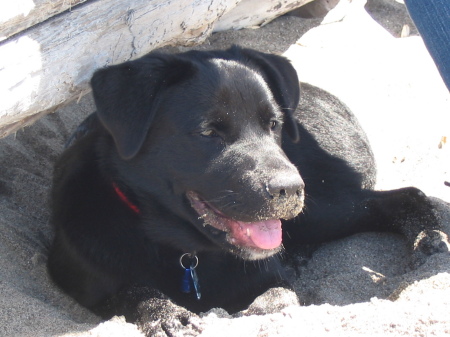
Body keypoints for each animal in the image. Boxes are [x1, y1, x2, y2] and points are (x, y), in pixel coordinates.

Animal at [48, 46, 442, 318]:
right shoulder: (82, 280)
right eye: (209, 132)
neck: (185, 254)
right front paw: (164, 314)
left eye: (275, 124)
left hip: (321, 207)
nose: (290, 189)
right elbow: (132, 292)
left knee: (404, 197)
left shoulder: (269, 276)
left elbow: (278, 299)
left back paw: (428, 239)